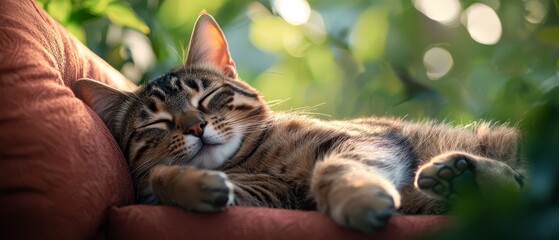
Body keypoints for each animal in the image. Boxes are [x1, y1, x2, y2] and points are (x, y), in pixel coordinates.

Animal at [73, 12, 524, 232]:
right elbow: (163, 179)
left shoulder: (361, 140)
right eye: (158, 124)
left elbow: (334, 170)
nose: (196, 127)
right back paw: (460, 176)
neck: (254, 159)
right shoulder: (274, 195)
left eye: (207, 97)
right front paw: (192, 185)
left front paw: (358, 198)